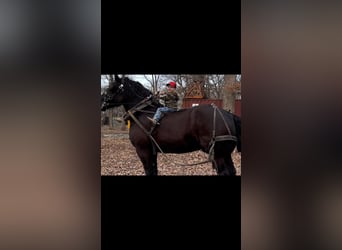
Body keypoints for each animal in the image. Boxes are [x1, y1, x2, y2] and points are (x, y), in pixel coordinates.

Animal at [101, 75, 240, 175]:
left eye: (113, 88)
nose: (102, 101)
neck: (142, 113)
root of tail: (228, 114)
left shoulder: (143, 150)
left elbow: (149, 171)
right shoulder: (152, 152)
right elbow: (154, 171)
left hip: (218, 154)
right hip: (225, 153)